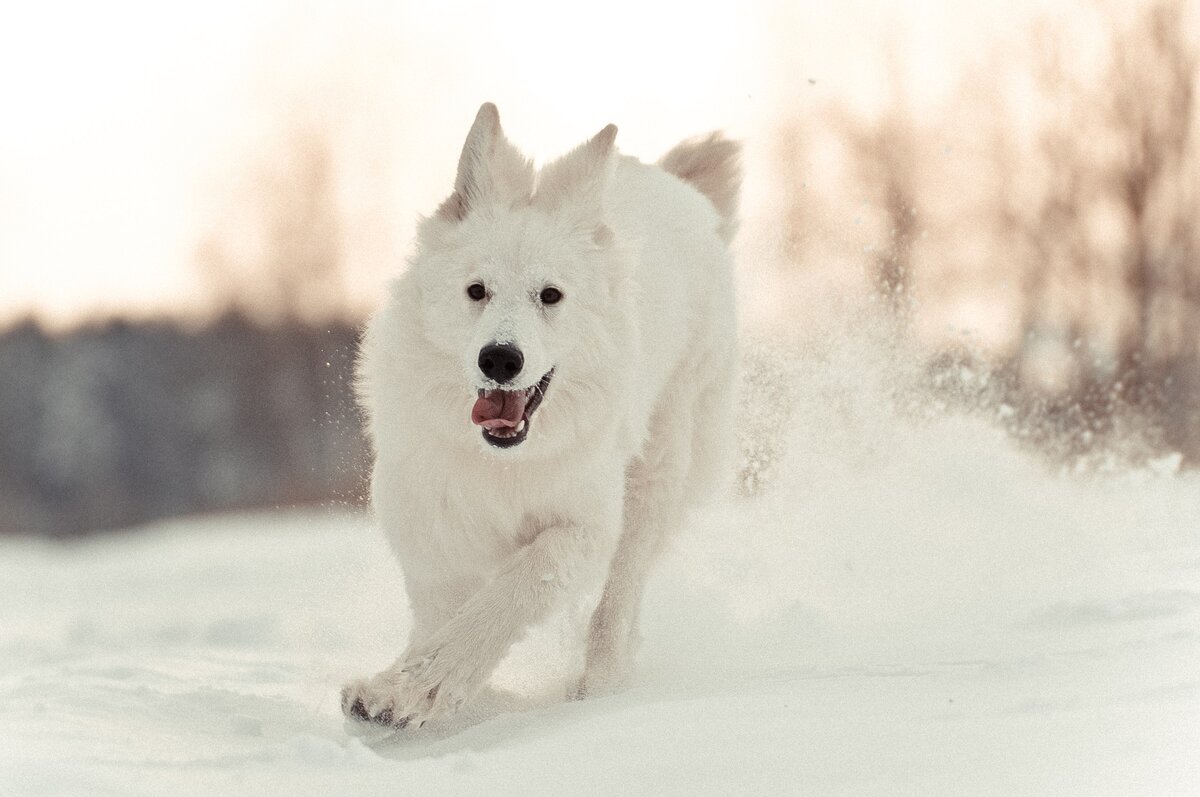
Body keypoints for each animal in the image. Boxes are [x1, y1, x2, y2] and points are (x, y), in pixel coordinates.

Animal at [340, 104, 739, 729]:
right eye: (476, 290)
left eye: (550, 295)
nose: (501, 358)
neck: (503, 462)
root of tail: (672, 181)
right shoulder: (426, 519)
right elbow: (437, 612)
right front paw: (398, 688)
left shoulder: (585, 525)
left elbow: (517, 585)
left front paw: (429, 685)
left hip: (656, 474)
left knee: (621, 595)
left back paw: (601, 686)